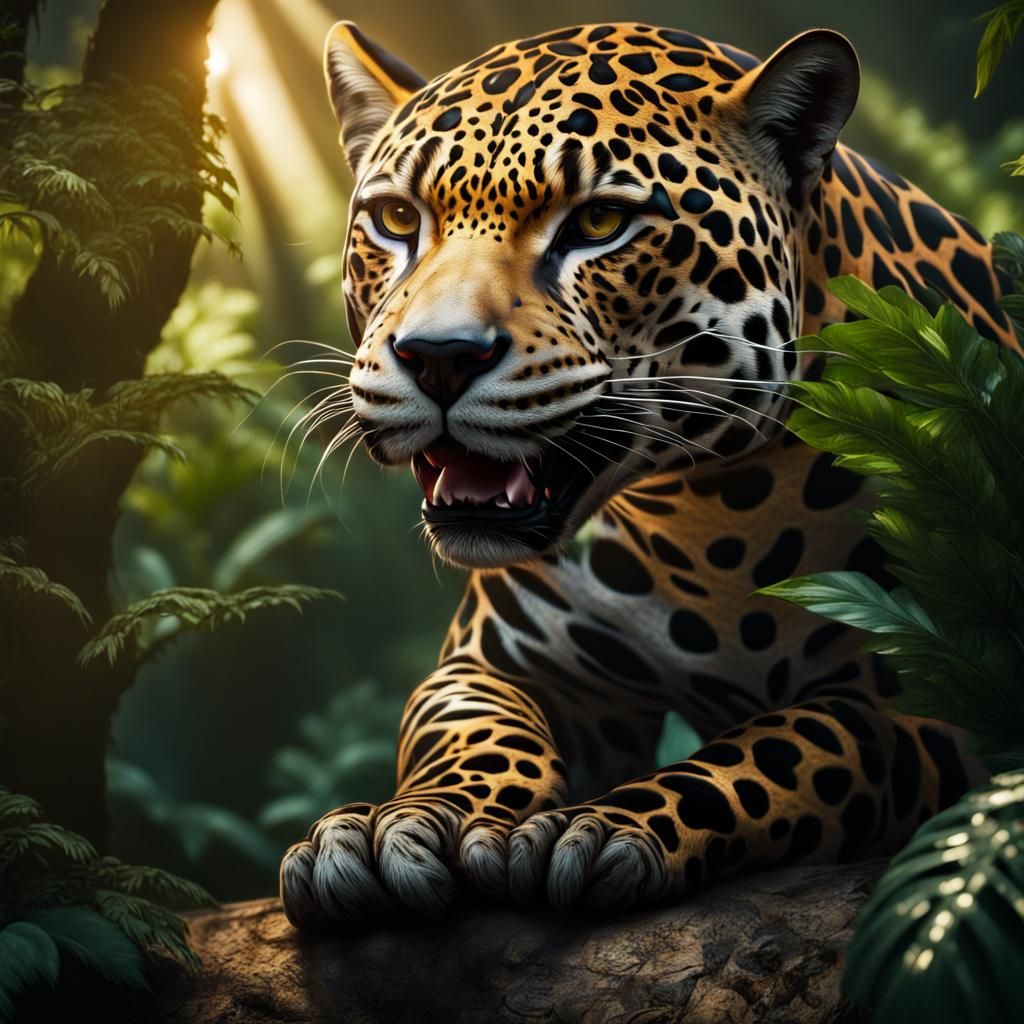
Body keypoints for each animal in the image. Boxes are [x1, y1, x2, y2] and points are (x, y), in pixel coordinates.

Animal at [279, 19, 1018, 928]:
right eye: (394, 218)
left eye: (599, 221)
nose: (439, 356)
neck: (700, 517)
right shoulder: (497, 662)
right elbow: (461, 730)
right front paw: (393, 828)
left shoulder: (928, 690)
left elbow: (783, 748)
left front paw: (607, 827)